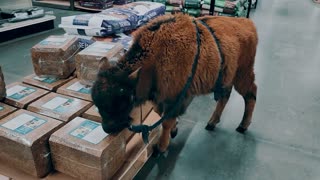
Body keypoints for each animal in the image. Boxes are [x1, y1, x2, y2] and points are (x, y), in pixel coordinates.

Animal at [91, 13, 258, 153]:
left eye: (124, 99)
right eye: (97, 103)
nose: (107, 128)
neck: (155, 57)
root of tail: (248, 23)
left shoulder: (174, 98)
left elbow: (165, 121)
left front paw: (161, 147)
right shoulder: (161, 98)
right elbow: (160, 114)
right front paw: (174, 129)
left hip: (243, 74)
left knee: (251, 94)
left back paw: (242, 126)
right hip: (227, 78)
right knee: (225, 96)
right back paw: (211, 123)